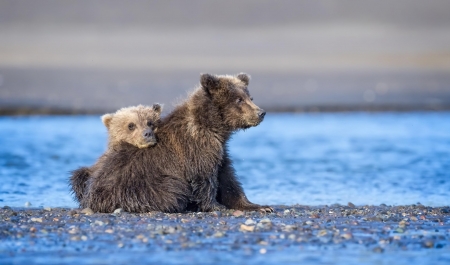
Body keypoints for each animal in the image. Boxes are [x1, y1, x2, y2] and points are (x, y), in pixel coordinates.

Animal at [85, 72, 272, 212]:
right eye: (238, 99)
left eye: (250, 97)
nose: (261, 113)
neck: (213, 126)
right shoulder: (197, 146)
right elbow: (204, 176)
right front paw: (215, 206)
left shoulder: (220, 150)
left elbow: (228, 179)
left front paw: (259, 206)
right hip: (139, 185)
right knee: (172, 190)